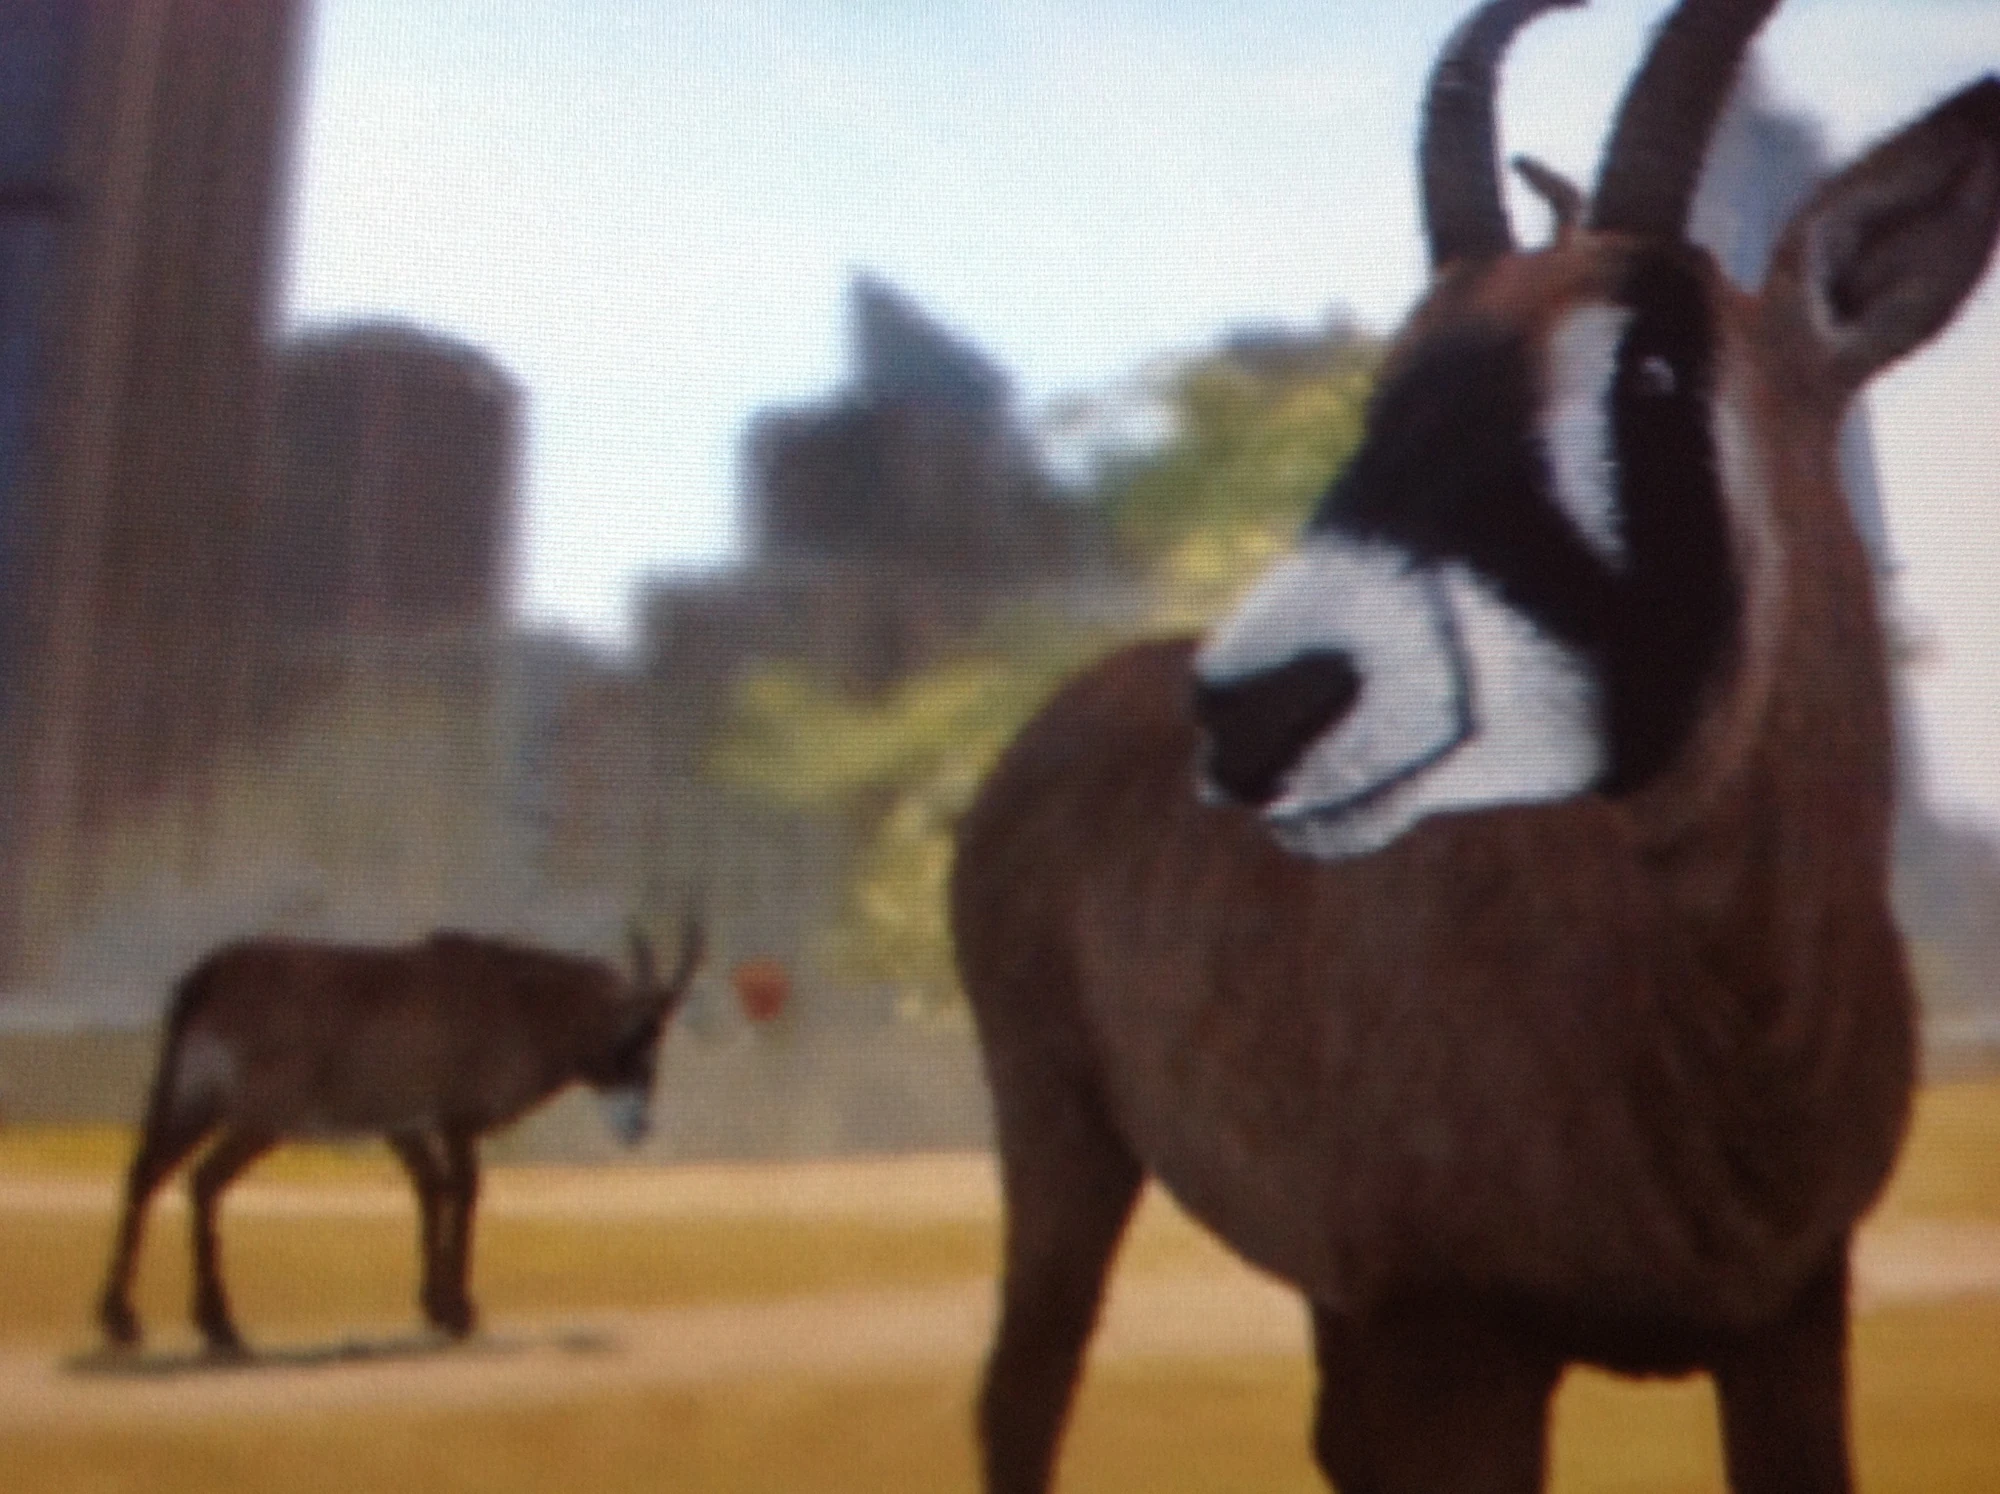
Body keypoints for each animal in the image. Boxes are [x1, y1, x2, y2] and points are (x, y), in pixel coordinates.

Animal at [97, 919, 703, 1355]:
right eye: (635, 1041)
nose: (639, 1126)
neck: (513, 996)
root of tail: (212, 974)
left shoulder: (407, 1126)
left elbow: (430, 1192)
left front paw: (434, 1306)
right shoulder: (456, 1122)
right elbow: (464, 1192)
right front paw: (460, 1312)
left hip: (194, 1106)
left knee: (146, 1177)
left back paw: (125, 1321)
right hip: (259, 1120)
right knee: (203, 1182)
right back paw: (218, 1326)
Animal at [951, 2, 2000, 1490]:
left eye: (1655, 362)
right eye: (1395, 376)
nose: (1261, 709)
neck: (1728, 1031)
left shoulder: (1792, 1319)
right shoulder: (1466, 1346)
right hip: (1060, 1135)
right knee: (1022, 1390)